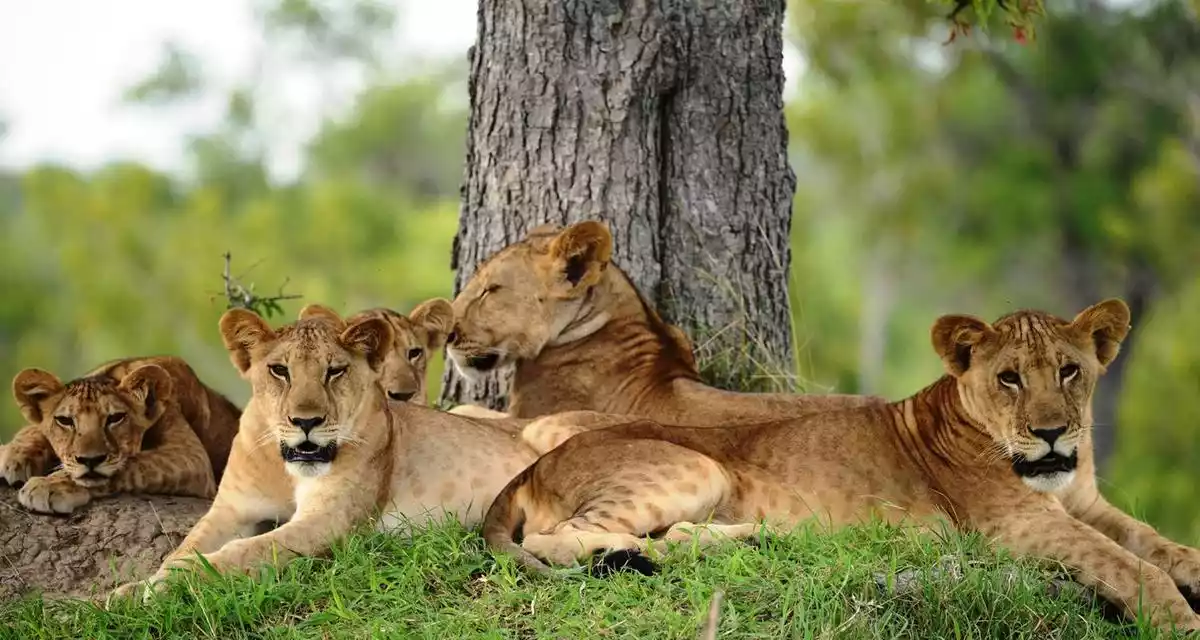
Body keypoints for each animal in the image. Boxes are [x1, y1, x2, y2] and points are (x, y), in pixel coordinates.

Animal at [1, 355, 241, 513]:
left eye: (115, 418)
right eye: (65, 421)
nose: (90, 460)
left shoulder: (190, 456)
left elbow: (133, 463)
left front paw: (49, 485)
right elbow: (33, 428)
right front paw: (11, 455)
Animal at [482, 297, 1200, 629]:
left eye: (1069, 370)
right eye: (1010, 378)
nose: (1052, 434)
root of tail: (529, 469)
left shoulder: (1086, 504)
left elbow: (1157, 543)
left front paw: (1188, 570)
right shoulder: (1018, 523)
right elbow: (1125, 563)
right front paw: (1180, 620)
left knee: (680, 533)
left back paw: (752, 540)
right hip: (694, 469)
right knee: (556, 537)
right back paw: (628, 556)